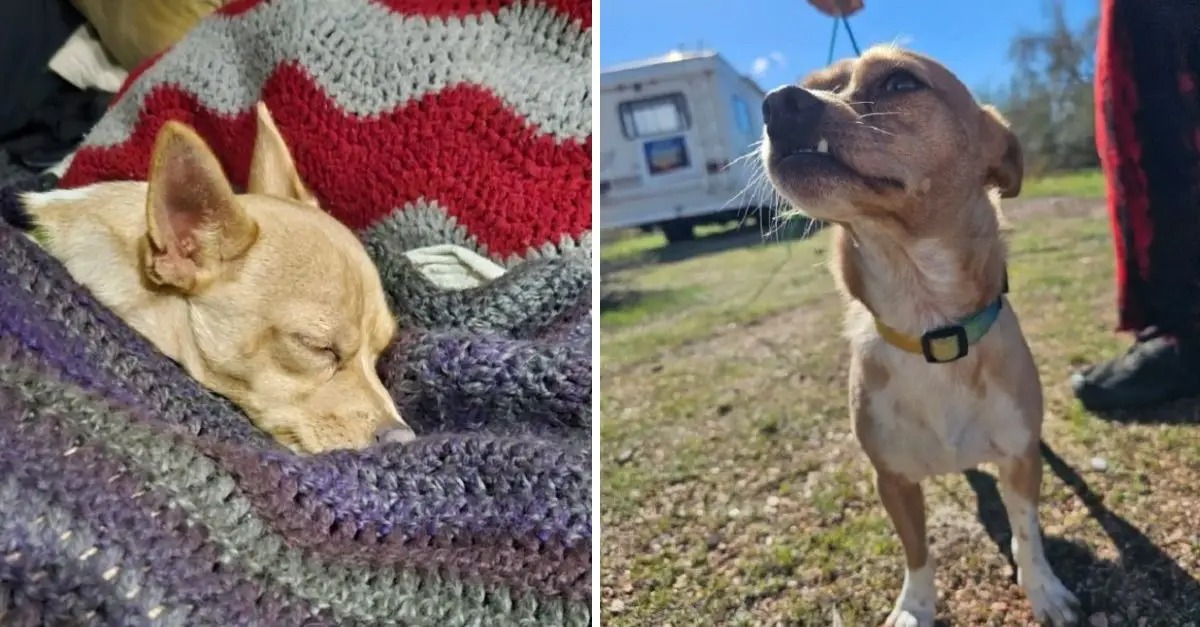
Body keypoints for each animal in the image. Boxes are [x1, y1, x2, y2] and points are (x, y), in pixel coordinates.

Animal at [763, 45, 1084, 624]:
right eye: (815, 83)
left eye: (899, 82)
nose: (778, 103)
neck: (929, 321)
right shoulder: (892, 480)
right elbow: (917, 551)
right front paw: (915, 607)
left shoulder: (1020, 462)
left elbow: (1027, 534)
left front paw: (1044, 590)